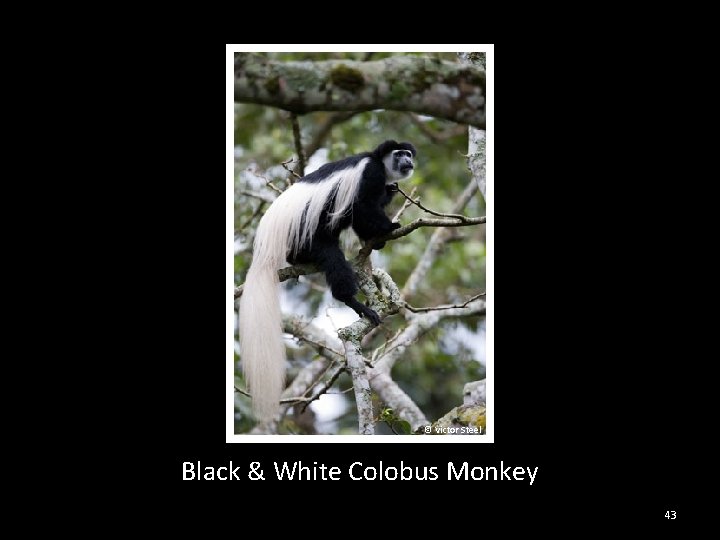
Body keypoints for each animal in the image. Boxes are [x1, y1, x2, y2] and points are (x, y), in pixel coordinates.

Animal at [238, 140, 416, 420]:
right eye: (399, 154)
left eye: (408, 154)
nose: (407, 162)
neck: (380, 163)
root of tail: (267, 244)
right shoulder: (370, 175)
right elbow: (362, 209)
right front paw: (387, 229)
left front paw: (377, 237)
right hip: (303, 234)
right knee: (332, 255)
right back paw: (355, 303)